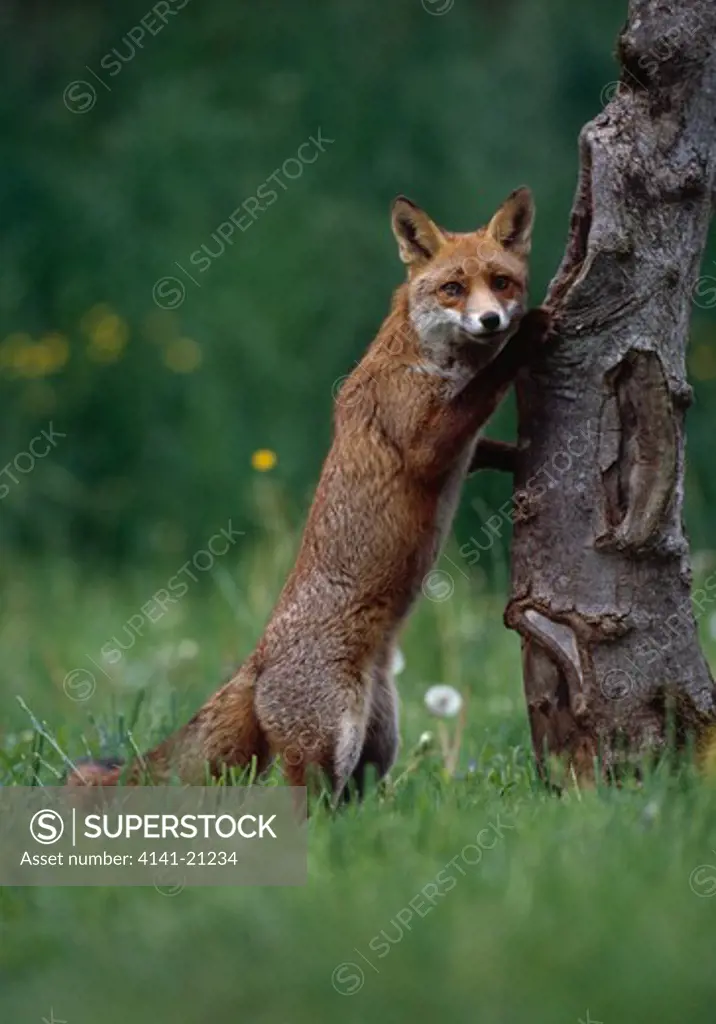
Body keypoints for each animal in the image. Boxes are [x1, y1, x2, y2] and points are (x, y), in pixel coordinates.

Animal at [70, 188, 553, 794]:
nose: (491, 319)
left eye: (501, 281)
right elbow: (482, 392)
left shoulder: (459, 449)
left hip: (376, 749)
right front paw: (525, 338)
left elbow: (486, 442)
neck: (426, 357)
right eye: (453, 289)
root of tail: (255, 662)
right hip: (328, 748)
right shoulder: (423, 443)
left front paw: (518, 457)